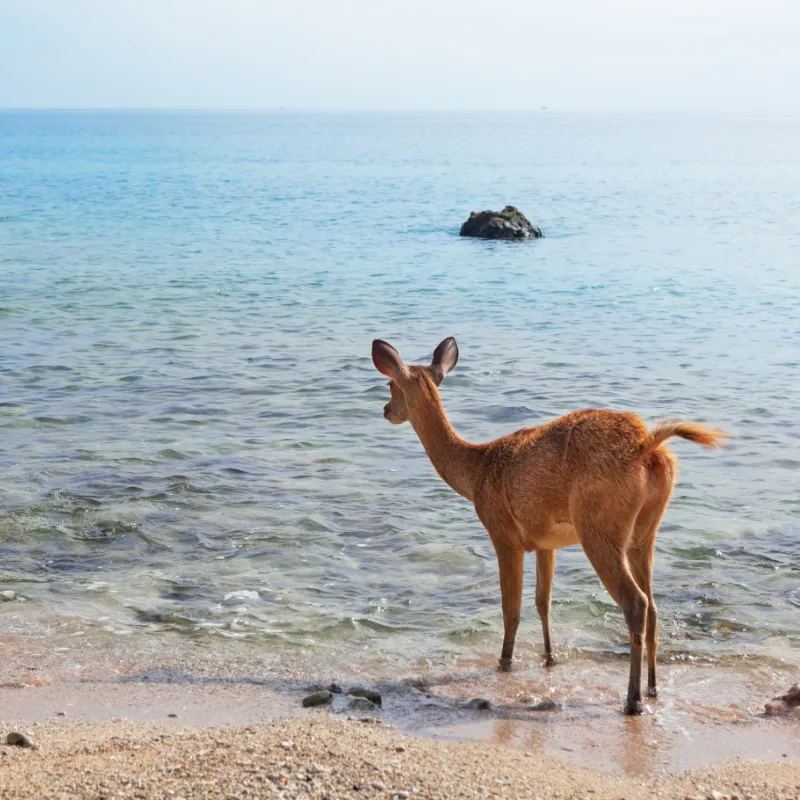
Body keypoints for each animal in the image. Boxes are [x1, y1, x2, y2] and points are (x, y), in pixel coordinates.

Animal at [371, 336, 727, 715]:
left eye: (391, 385)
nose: (386, 410)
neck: (475, 472)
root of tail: (647, 448)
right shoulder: (546, 541)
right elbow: (543, 602)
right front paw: (550, 657)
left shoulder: (502, 533)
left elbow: (511, 609)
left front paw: (505, 663)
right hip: (644, 533)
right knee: (654, 608)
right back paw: (653, 688)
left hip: (598, 527)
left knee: (636, 603)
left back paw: (633, 701)